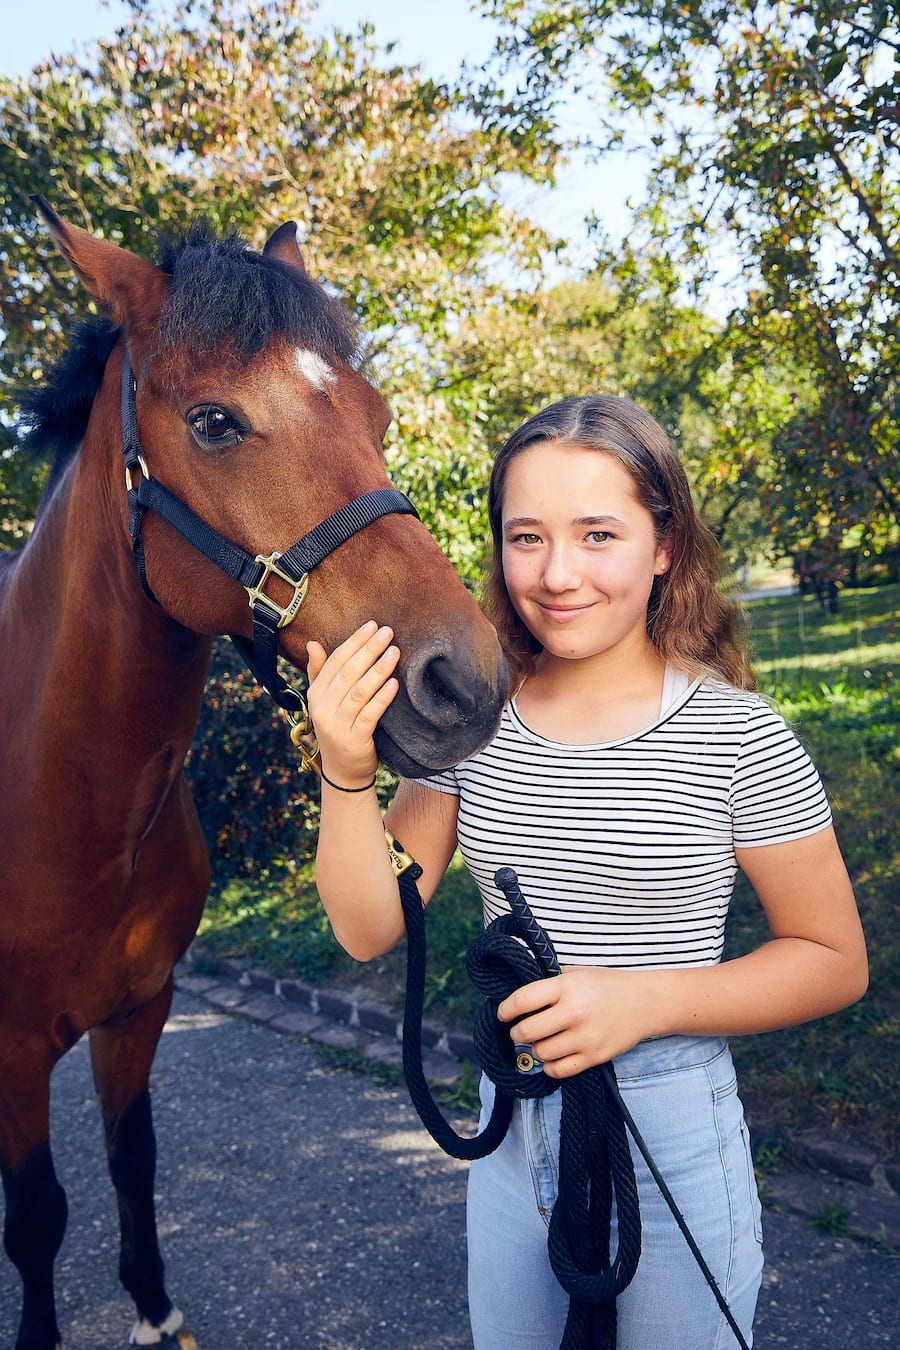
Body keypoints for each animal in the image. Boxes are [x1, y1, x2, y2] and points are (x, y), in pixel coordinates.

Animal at [0, 198, 508, 1350]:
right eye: (215, 422)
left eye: (375, 411)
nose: (464, 680)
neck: (65, 801)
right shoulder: (8, 1052)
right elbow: (37, 1214)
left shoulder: (138, 1011)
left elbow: (132, 1160)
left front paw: (155, 1310)